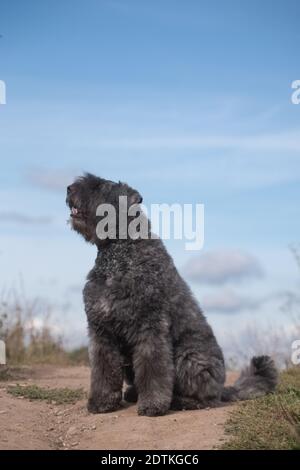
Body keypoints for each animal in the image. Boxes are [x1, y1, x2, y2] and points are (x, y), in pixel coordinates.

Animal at [66, 174, 278, 416]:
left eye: (100, 186)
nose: (69, 188)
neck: (119, 254)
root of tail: (224, 386)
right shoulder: (101, 331)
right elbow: (104, 369)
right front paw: (102, 403)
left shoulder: (150, 328)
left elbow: (153, 368)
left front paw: (153, 405)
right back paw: (133, 394)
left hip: (189, 359)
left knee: (206, 397)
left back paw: (182, 401)